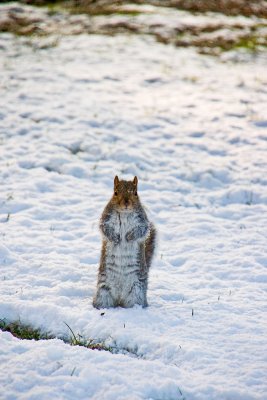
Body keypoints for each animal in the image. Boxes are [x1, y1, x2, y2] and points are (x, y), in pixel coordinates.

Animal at [94, 175, 157, 310]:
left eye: (136, 193)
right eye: (115, 192)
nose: (126, 203)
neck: (124, 213)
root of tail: (119, 299)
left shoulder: (142, 221)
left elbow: (141, 230)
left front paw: (129, 237)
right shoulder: (105, 219)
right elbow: (105, 229)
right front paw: (116, 238)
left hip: (136, 292)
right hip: (103, 291)